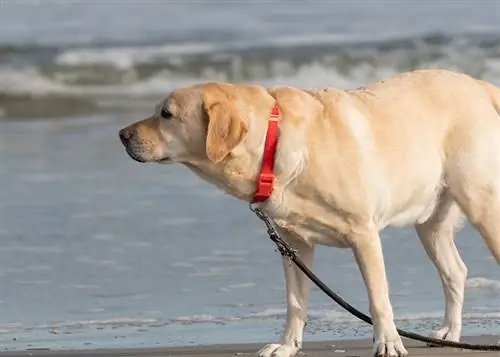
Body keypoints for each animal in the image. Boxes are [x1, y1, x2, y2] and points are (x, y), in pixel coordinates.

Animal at [120, 69, 500, 356]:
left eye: (166, 114)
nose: (122, 134)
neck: (271, 144)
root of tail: (479, 85)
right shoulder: (293, 244)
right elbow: (294, 301)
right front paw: (287, 346)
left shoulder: (363, 234)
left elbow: (378, 298)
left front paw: (388, 343)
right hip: (430, 220)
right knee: (455, 272)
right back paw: (450, 333)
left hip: (482, 204)